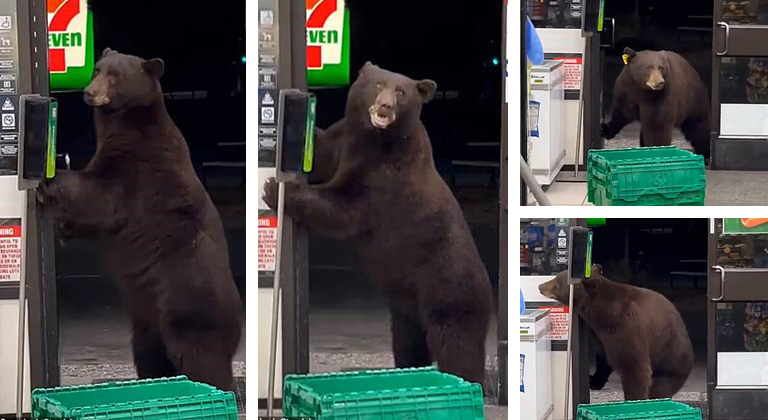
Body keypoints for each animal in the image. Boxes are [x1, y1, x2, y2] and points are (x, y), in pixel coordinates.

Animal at [34, 48, 242, 390]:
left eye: (115, 75)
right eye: (97, 68)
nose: (89, 92)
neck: (128, 122)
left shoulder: (140, 167)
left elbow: (101, 196)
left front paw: (48, 182)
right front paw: (63, 228)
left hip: (188, 307)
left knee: (202, 360)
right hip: (147, 322)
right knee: (150, 356)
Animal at [262, 62, 492, 388]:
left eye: (402, 92)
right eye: (378, 83)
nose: (385, 106)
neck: (373, 139)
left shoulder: (387, 178)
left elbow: (345, 207)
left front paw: (275, 189)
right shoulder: (343, 140)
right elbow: (322, 154)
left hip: (451, 289)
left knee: (457, 346)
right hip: (407, 309)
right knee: (408, 344)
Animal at [536, 266, 692, 400]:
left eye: (556, 282)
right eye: (556, 277)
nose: (540, 286)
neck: (604, 314)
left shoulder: (628, 328)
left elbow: (634, 367)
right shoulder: (602, 335)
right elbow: (603, 357)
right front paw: (593, 380)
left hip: (670, 362)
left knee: (660, 387)